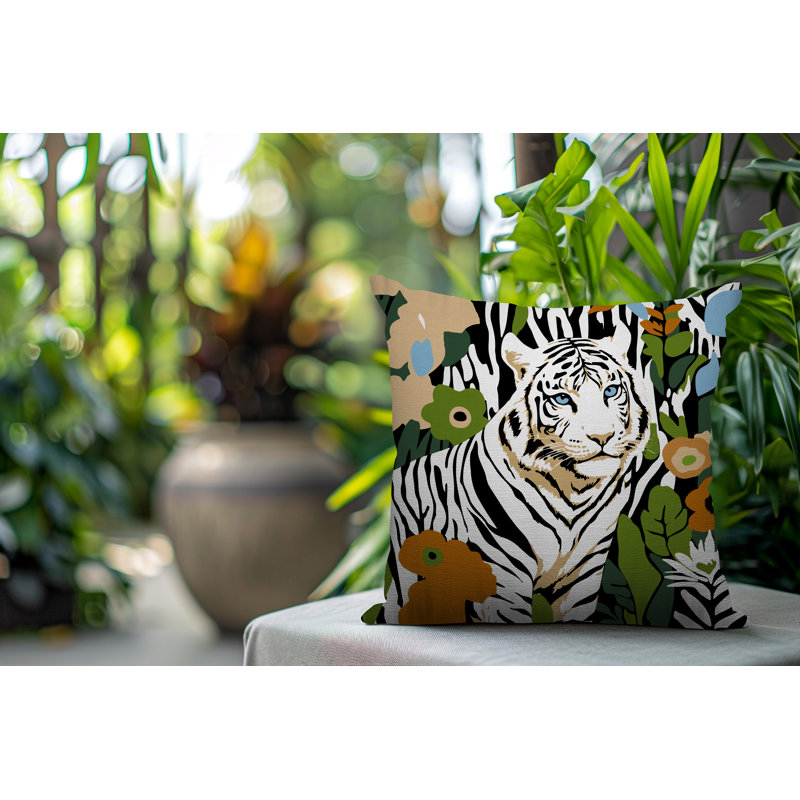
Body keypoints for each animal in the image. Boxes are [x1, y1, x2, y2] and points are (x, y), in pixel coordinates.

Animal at [385, 332, 653, 624]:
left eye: (611, 391)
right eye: (562, 399)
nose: (602, 437)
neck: (576, 490)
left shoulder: (584, 573)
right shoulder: (502, 575)